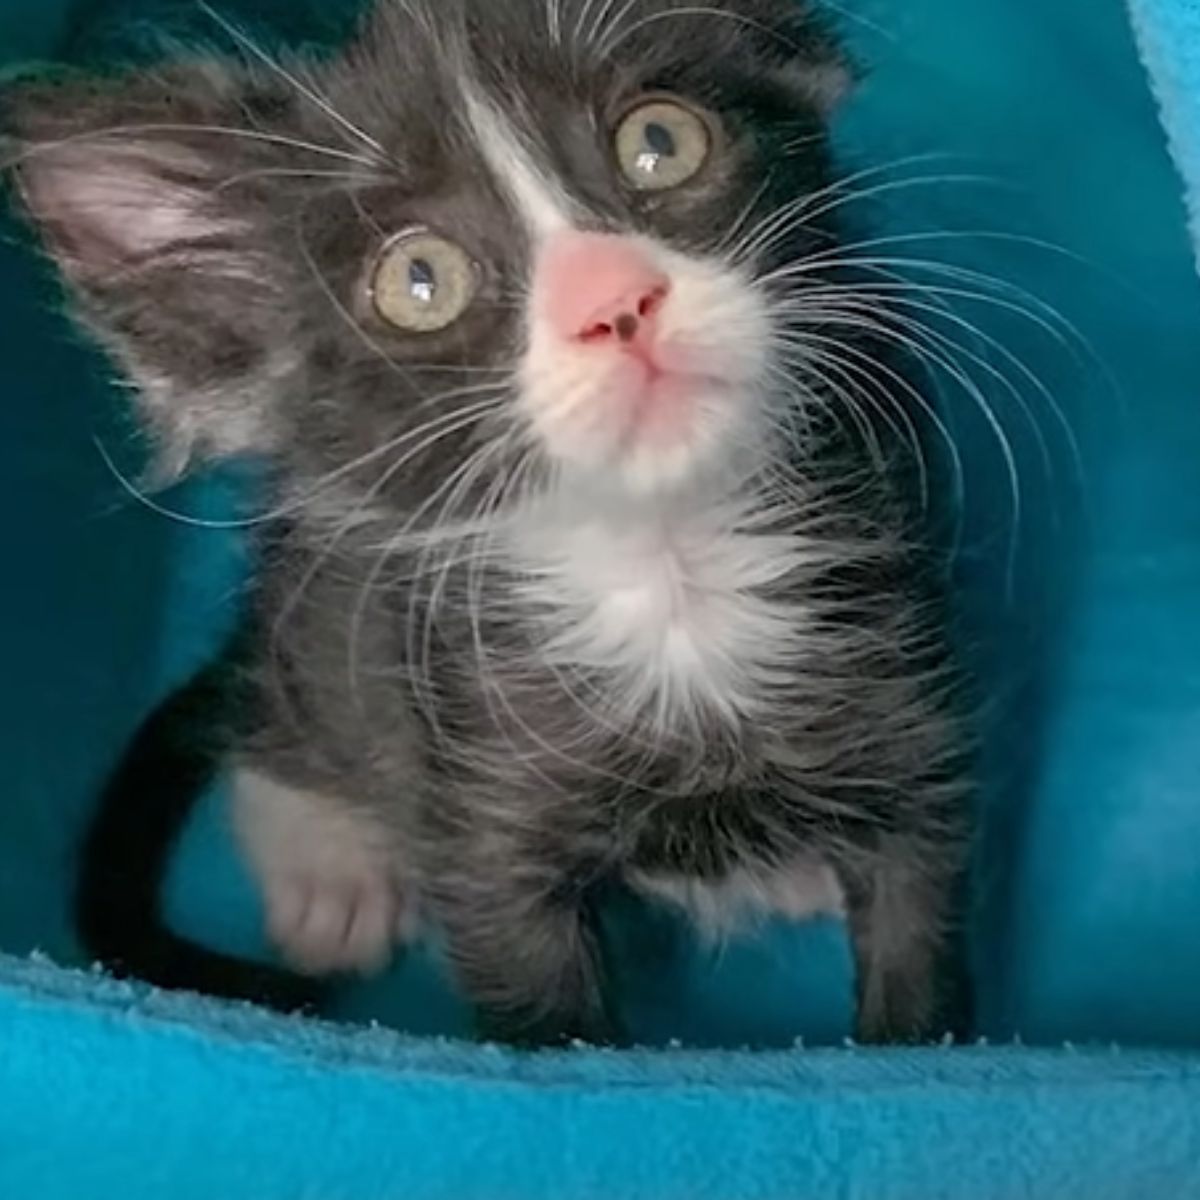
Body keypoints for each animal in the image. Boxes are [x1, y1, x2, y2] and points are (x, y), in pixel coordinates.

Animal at [4, 0, 969, 1046]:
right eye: (419, 280)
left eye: (660, 143)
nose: (616, 303)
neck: (671, 573)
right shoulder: (483, 803)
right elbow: (540, 1019)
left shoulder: (904, 698)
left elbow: (921, 954)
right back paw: (326, 869)